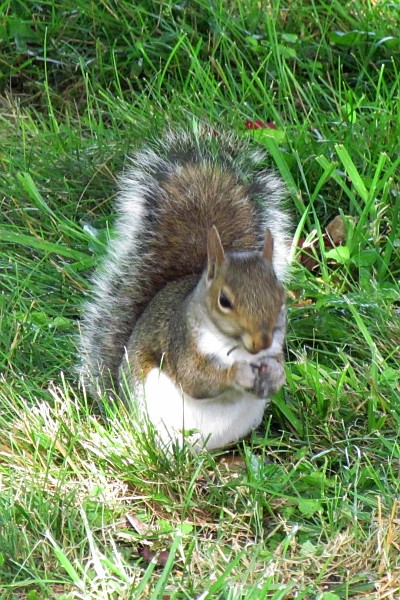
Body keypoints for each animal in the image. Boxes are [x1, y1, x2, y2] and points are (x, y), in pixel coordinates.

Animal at [79, 124, 290, 448]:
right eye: (224, 301)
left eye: (280, 297)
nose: (261, 343)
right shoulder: (181, 344)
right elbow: (195, 379)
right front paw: (237, 373)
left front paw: (277, 374)